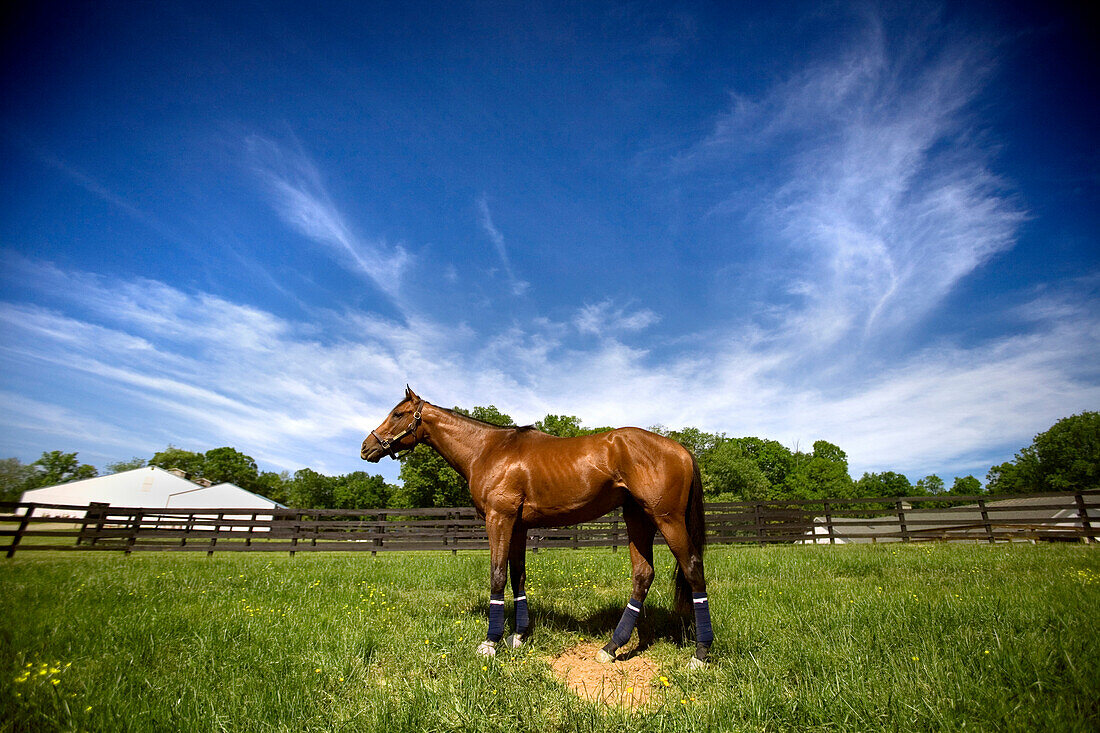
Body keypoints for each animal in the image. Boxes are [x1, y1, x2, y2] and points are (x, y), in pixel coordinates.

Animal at [360, 385, 712, 664]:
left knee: (693, 568)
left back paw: (700, 653)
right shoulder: (518, 526)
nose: (366, 447)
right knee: (643, 575)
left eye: (398, 414)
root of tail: (680, 449)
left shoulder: (499, 519)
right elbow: (518, 577)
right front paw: (518, 636)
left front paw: (491, 642)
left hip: (667, 520)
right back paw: (612, 647)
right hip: (637, 519)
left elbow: (498, 575)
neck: (488, 449)